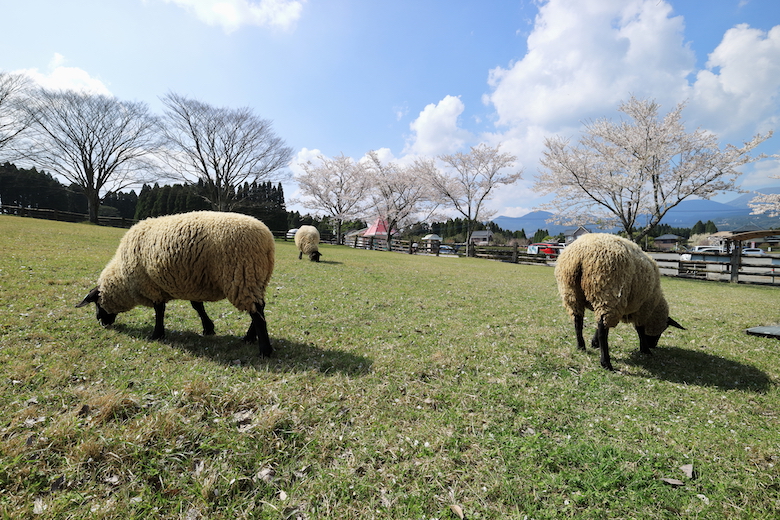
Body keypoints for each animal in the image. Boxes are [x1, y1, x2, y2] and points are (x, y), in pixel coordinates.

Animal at [76, 209, 276, 356]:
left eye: (97, 303)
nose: (100, 321)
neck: (123, 280)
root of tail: (267, 240)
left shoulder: (152, 286)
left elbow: (159, 310)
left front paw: (157, 334)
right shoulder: (192, 282)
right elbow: (197, 306)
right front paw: (208, 328)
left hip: (241, 275)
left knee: (257, 312)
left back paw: (264, 350)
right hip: (256, 278)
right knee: (259, 308)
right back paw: (249, 338)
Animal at [552, 234, 684, 372]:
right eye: (664, 328)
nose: (653, 345)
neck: (654, 307)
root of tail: (580, 255)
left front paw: (594, 343)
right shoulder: (642, 309)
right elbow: (640, 330)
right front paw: (645, 349)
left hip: (571, 292)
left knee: (579, 322)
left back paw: (581, 346)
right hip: (608, 292)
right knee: (603, 331)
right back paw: (606, 363)